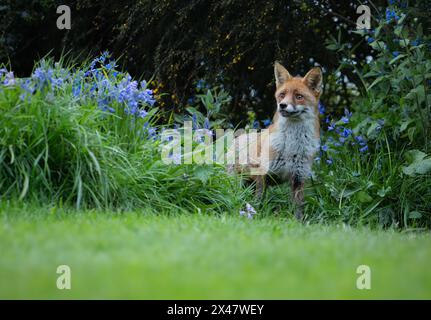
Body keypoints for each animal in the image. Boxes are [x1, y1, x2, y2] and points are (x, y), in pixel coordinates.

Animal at [228, 61, 322, 219]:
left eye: (299, 96)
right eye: (282, 95)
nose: (282, 105)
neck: (292, 145)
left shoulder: (299, 177)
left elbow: (298, 208)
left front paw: (298, 222)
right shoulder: (263, 174)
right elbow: (259, 200)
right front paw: (255, 215)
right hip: (237, 180)